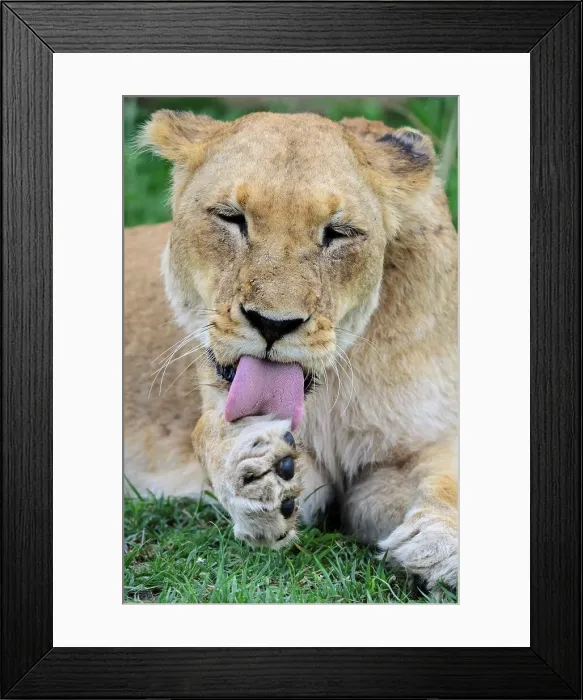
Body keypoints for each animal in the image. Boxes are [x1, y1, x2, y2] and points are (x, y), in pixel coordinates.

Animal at [124, 110, 458, 593]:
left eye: (338, 233)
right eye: (232, 218)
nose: (273, 323)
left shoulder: (412, 444)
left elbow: (445, 475)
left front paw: (441, 541)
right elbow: (208, 434)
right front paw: (251, 473)